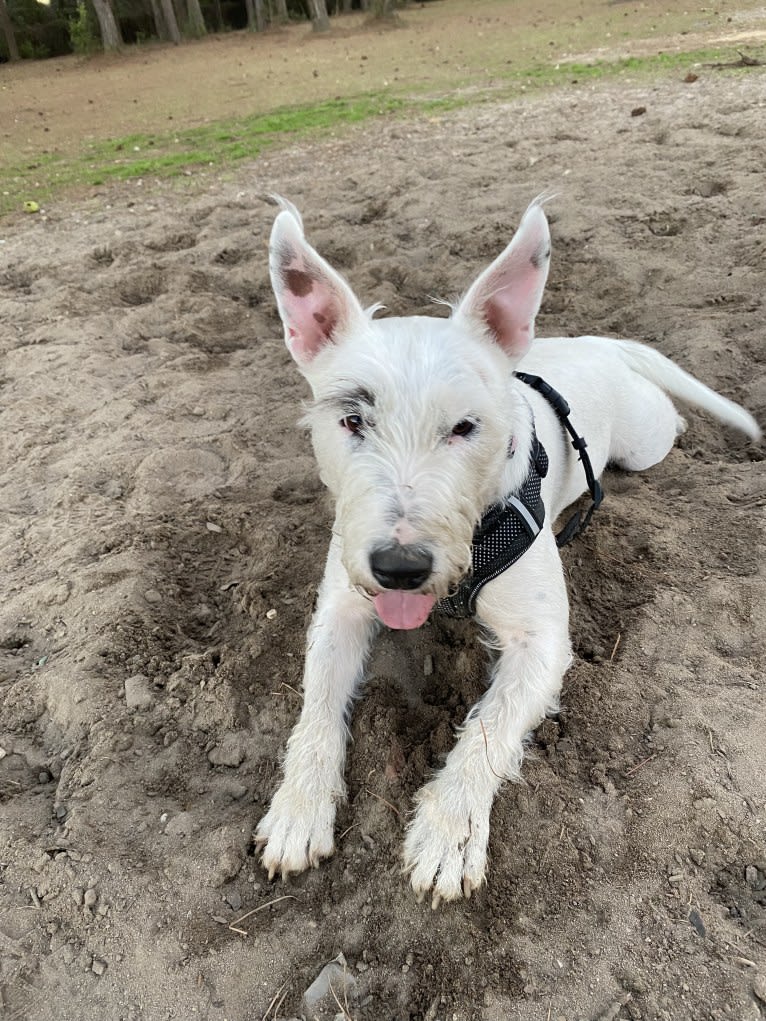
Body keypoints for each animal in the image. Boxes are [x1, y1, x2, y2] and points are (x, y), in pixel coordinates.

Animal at [256, 195, 763, 906]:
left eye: (466, 426)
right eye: (352, 419)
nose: (400, 569)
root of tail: (591, 343)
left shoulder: (541, 642)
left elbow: (489, 726)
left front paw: (448, 833)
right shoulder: (342, 610)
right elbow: (318, 706)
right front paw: (299, 808)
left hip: (645, 440)